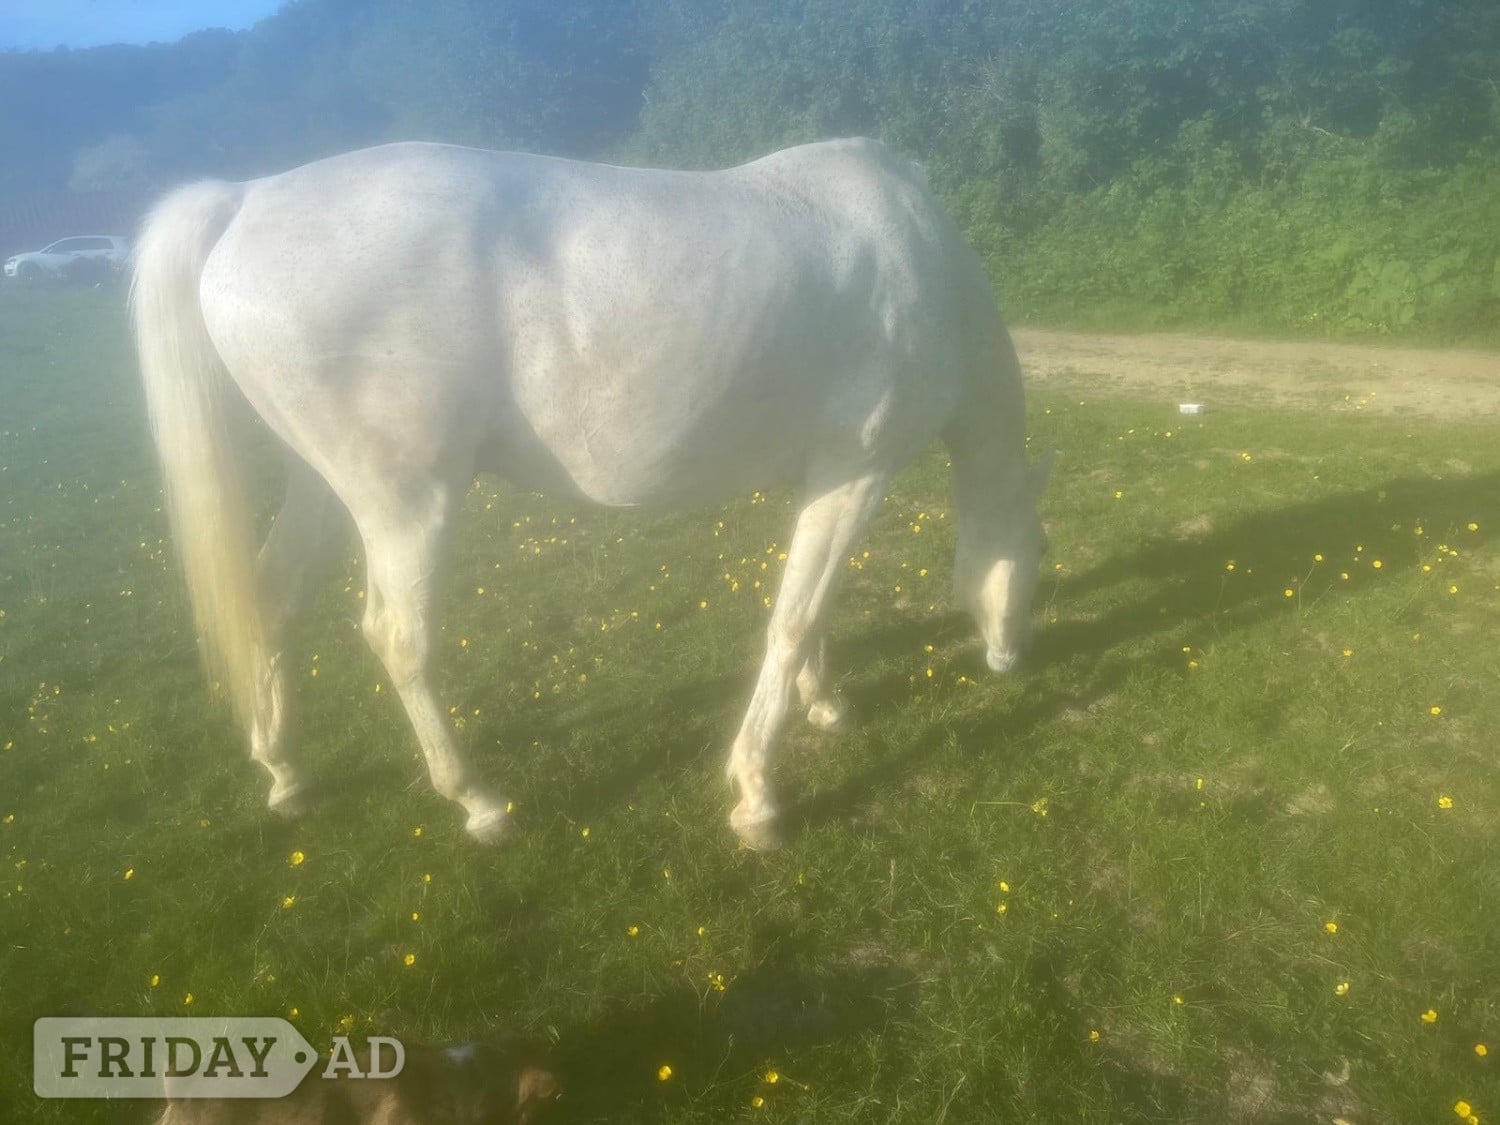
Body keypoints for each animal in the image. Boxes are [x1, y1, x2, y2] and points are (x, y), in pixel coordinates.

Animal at [131, 137, 1051, 848]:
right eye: (1041, 556)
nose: (1012, 657)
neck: (918, 258)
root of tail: (248, 197)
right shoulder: (858, 472)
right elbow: (793, 620)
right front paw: (757, 794)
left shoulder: (820, 478)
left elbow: (811, 611)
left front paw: (825, 706)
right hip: (405, 504)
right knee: (398, 639)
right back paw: (478, 800)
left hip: (324, 490)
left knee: (274, 598)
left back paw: (284, 770)